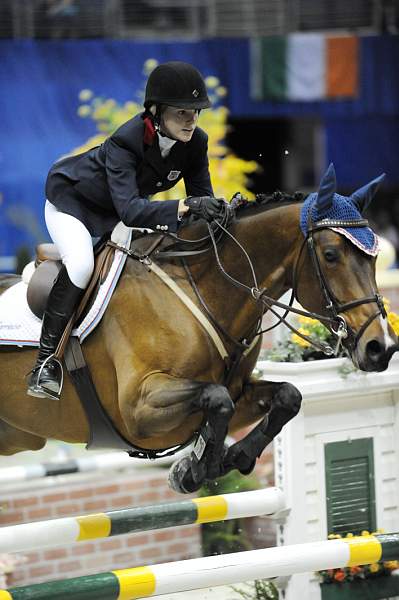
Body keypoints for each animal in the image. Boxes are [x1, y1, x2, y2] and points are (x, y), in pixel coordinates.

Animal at [0, 164, 396, 492]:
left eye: (374, 258)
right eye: (330, 255)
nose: (381, 347)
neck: (205, 292)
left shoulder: (241, 392)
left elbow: (287, 396)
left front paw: (228, 458)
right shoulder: (138, 408)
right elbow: (216, 398)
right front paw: (194, 470)